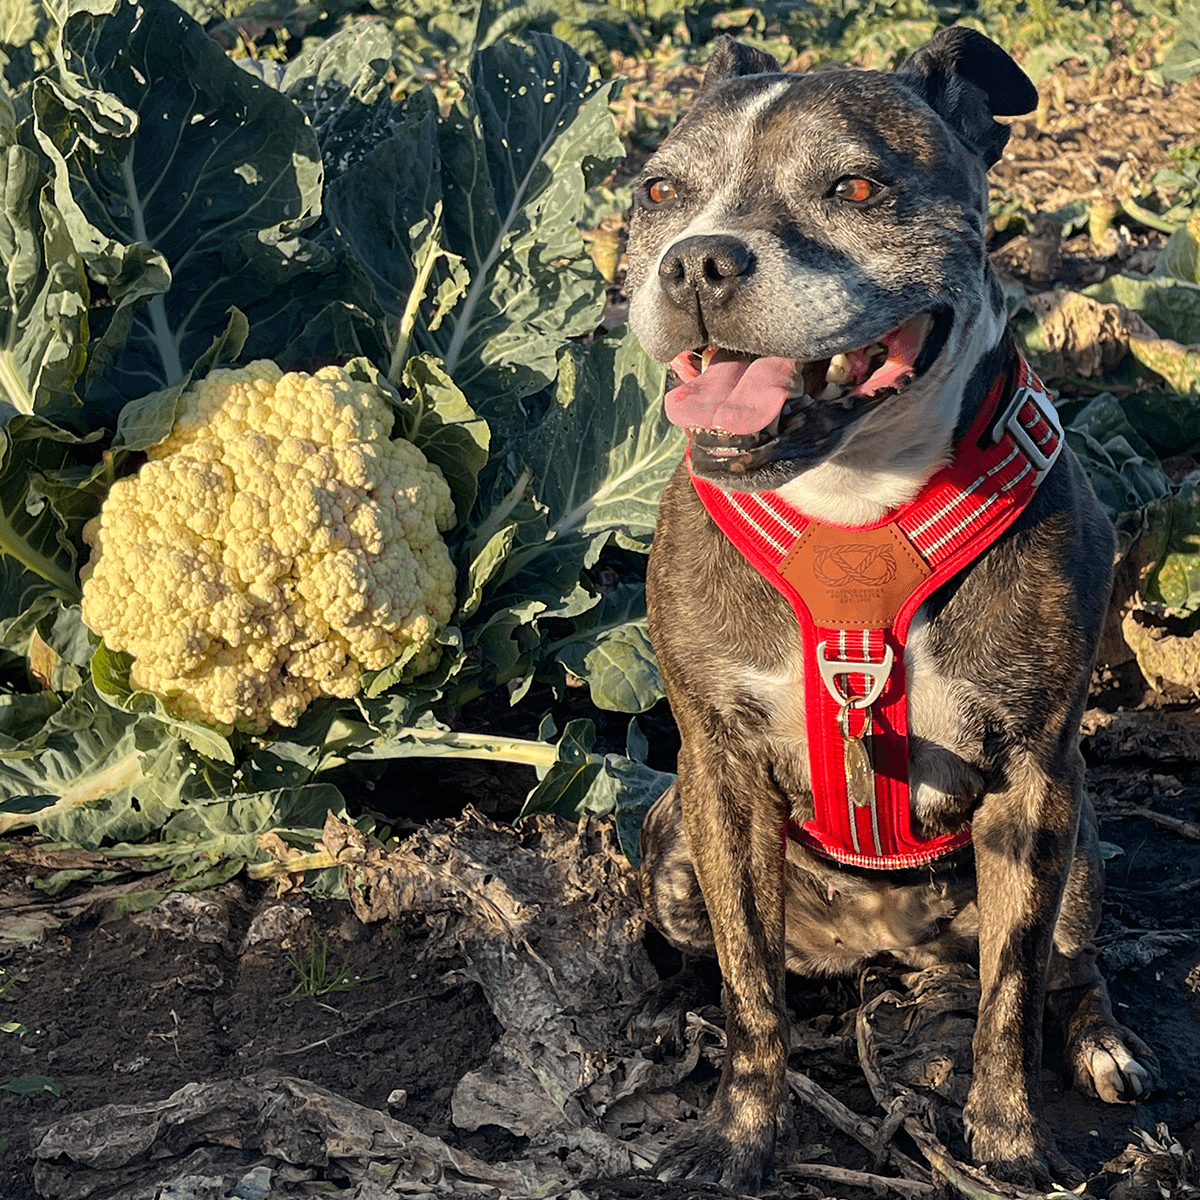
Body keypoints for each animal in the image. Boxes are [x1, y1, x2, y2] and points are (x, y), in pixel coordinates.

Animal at [628, 25, 1161, 1190]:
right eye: (658, 190)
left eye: (857, 187)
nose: (694, 259)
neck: (852, 503)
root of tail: (878, 942)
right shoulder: (719, 772)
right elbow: (751, 996)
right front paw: (738, 1135)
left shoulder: (1034, 782)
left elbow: (1009, 999)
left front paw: (1009, 1144)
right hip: (673, 842)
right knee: (718, 952)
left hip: (1085, 844)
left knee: (1070, 965)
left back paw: (1102, 1045)